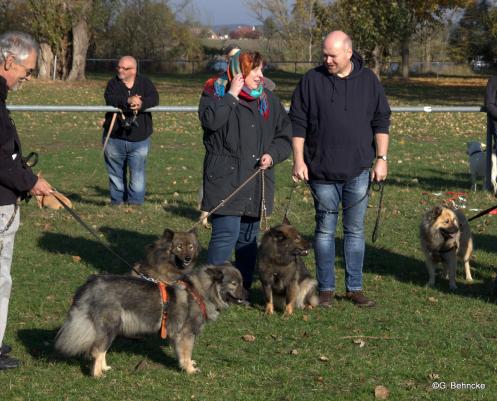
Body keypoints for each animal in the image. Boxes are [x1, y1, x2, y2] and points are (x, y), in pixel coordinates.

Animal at [55, 262, 247, 376]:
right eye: (234, 284)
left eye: (242, 282)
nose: (247, 295)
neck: (201, 292)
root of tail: (90, 284)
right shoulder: (185, 334)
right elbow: (186, 353)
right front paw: (190, 369)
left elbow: (182, 353)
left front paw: (186, 365)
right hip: (110, 327)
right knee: (97, 351)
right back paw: (97, 374)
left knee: (101, 350)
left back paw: (104, 368)